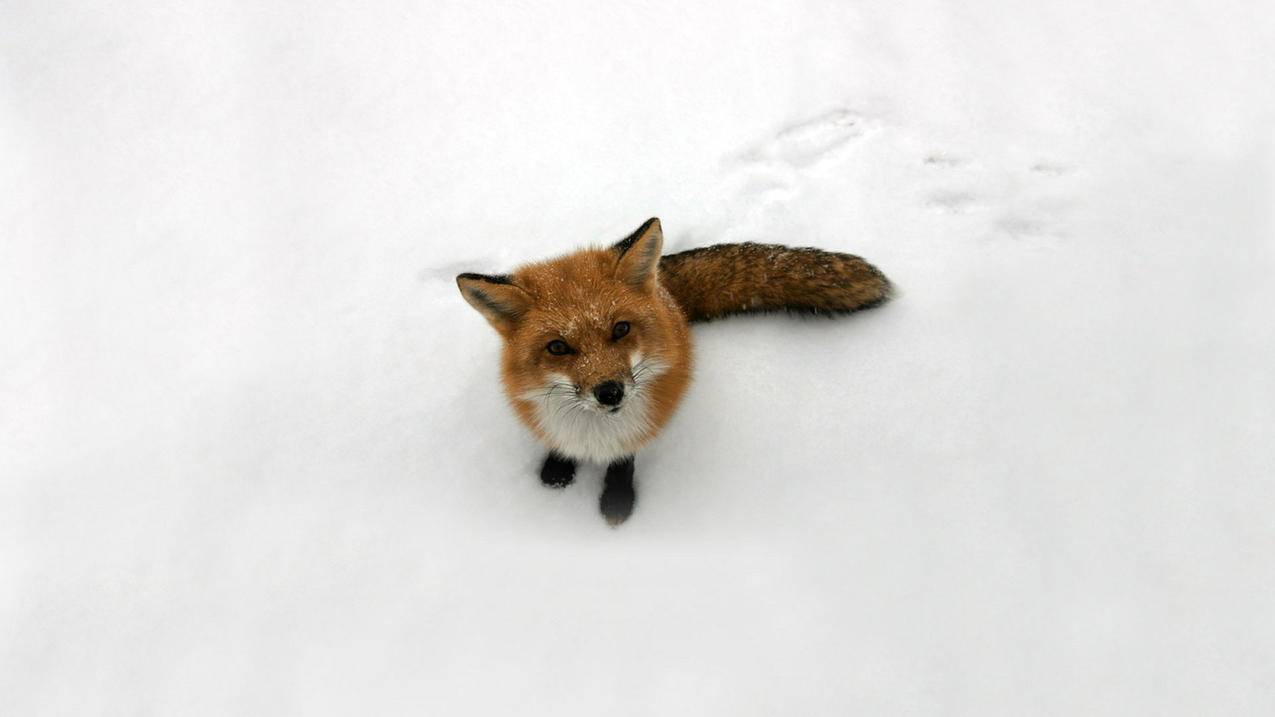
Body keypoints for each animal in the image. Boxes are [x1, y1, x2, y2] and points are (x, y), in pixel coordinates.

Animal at [456, 218, 887, 525]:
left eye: (621, 329)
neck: (594, 435)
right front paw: (556, 471)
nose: (610, 392)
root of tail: (664, 290)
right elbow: (558, 447)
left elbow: (624, 460)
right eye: (558, 348)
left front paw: (617, 502)